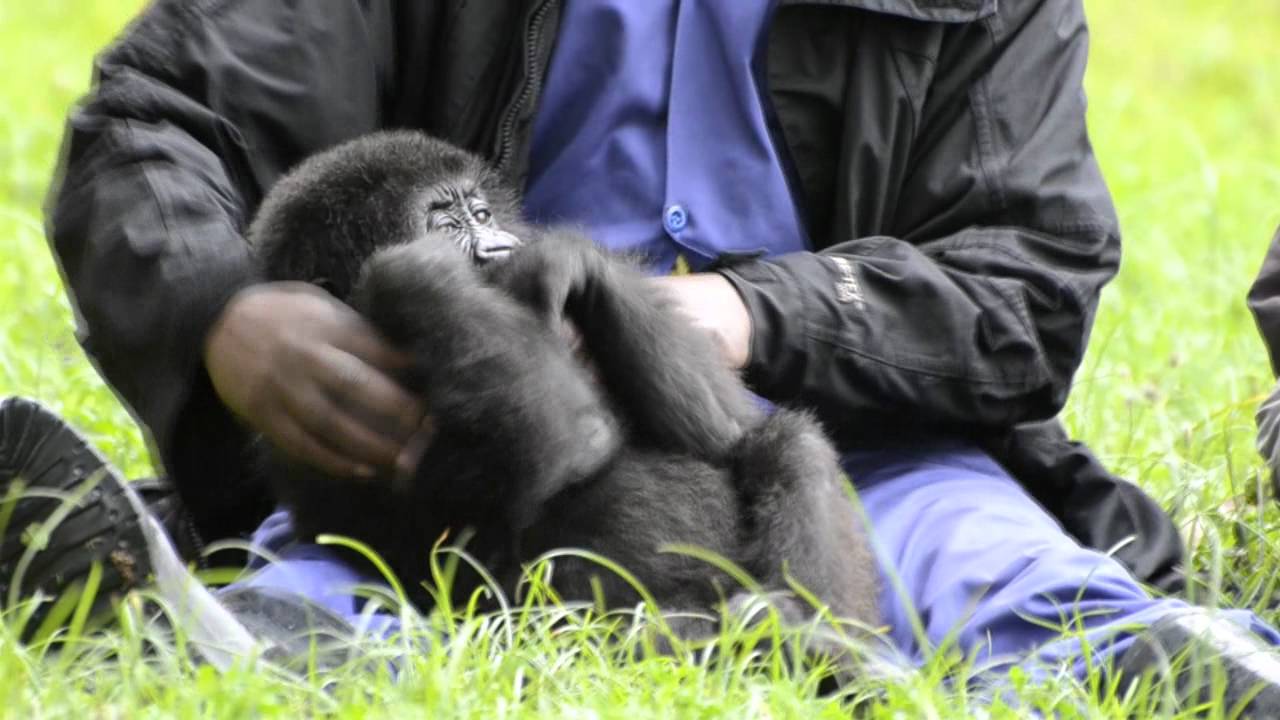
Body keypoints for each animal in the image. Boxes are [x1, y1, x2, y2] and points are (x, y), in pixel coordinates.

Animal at [247, 131, 881, 642]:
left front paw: (562, 255)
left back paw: (826, 645)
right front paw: (410, 272)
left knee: (785, 444)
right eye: (445, 226)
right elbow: (575, 443)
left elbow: (719, 430)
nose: (499, 245)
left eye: (482, 214)